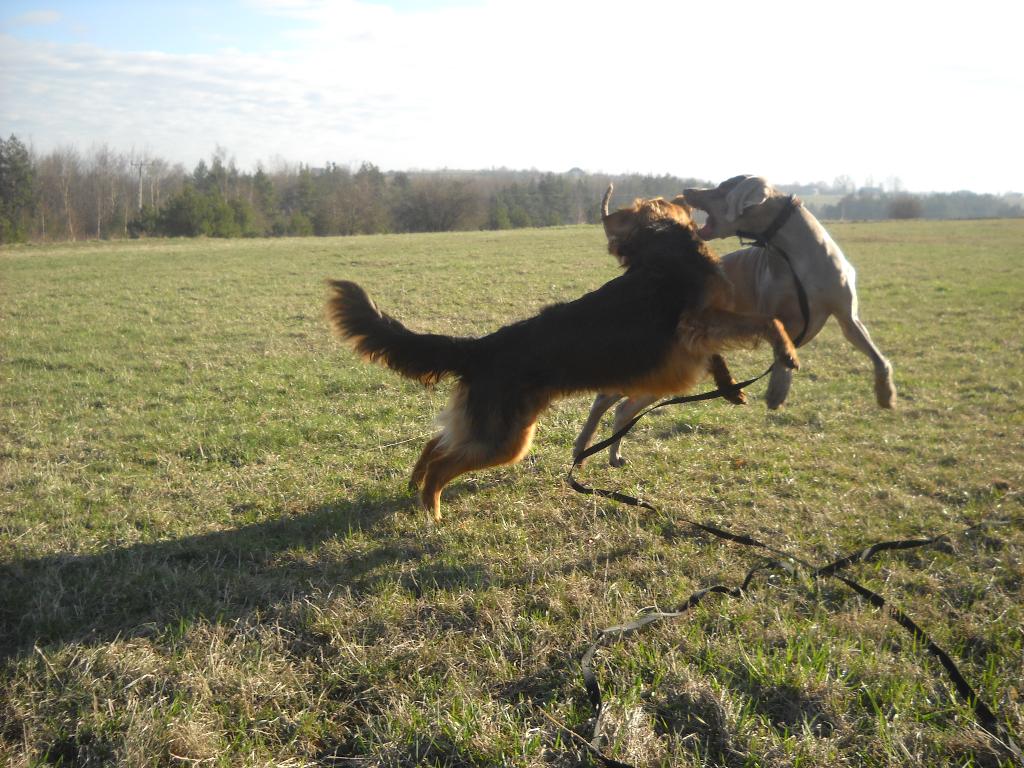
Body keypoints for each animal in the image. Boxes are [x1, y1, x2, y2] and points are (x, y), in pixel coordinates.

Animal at [327, 195, 798, 528]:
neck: (660, 248)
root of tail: (481, 347)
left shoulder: (694, 337)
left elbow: (724, 351)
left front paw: (729, 386)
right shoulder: (696, 325)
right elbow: (767, 320)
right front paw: (786, 352)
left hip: (492, 429)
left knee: (434, 444)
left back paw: (413, 487)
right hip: (506, 440)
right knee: (443, 463)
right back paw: (433, 512)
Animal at [577, 176, 897, 468]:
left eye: (722, 187)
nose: (688, 190)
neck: (796, 257)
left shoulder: (848, 319)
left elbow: (878, 358)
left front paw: (886, 394)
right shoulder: (776, 314)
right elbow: (781, 348)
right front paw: (778, 388)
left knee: (624, 408)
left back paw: (613, 453)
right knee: (604, 398)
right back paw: (582, 446)